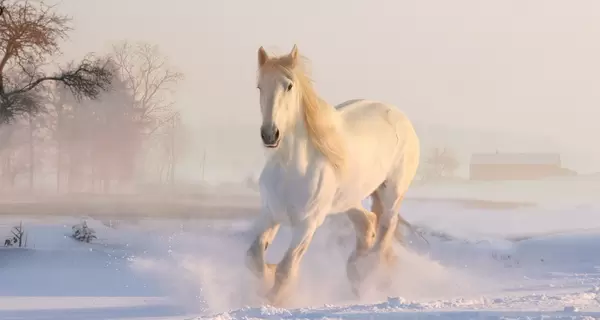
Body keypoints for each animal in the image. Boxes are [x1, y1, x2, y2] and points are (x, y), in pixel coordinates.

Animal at [246, 44, 420, 304]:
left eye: (289, 85)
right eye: (260, 86)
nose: (270, 134)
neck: (291, 169)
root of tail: (398, 115)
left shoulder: (307, 225)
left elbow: (286, 270)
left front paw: (274, 299)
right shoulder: (270, 213)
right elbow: (254, 257)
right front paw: (266, 278)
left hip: (392, 193)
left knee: (385, 228)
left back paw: (367, 272)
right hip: (349, 199)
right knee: (367, 223)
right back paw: (356, 271)